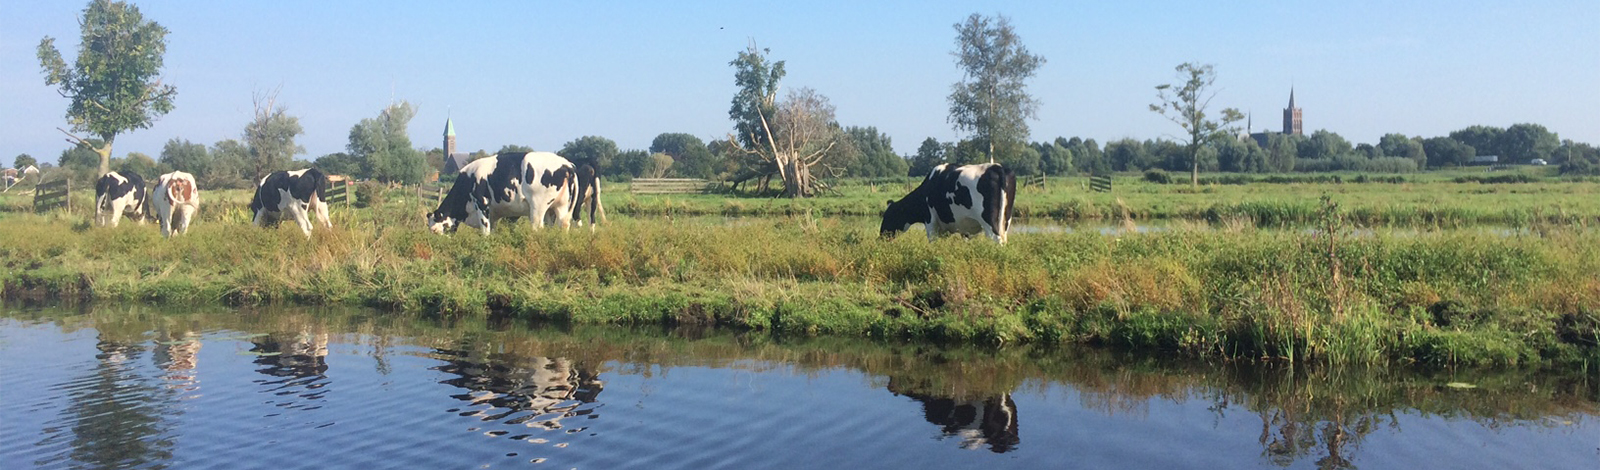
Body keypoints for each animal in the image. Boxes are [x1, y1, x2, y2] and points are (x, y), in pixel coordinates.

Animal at [428, 150, 579, 235]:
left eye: (434, 230)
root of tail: (567, 165)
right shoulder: (493, 214)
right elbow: (492, 230)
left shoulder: (481, 204)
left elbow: (485, 231)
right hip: (560, 207)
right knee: (562, 226)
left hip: (538, 206)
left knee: (537, 228)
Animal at [883, 162, 1017, 244]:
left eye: (887, 216)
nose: (881, 236)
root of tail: (996, 167)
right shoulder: (961, 229)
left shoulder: (930, 222)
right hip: (1005, 220)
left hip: (989, 222)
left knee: (996, 239)